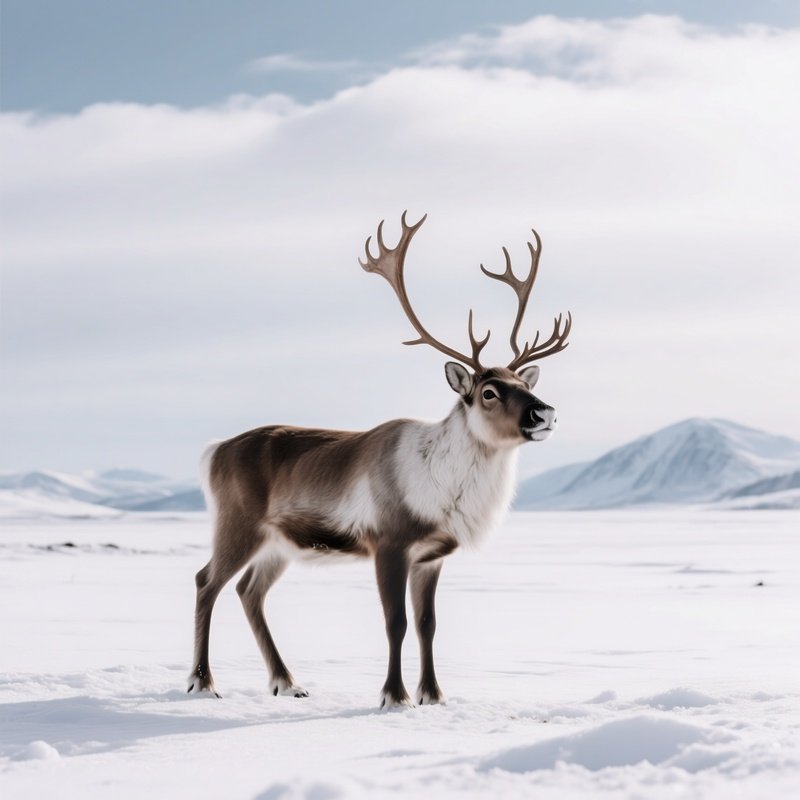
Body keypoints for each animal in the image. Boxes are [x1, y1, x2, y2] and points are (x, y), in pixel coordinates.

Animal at [188, 212, 571, 708]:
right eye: (489, 391)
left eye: (522, 383)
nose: (545, 413)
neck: (444, 485)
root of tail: (214, 451)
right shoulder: (389, 543)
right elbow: (397, 623)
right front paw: (394, 695)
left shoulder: (431, 556)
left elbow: (428, 625)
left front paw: (434, 695)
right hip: (238, 525)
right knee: (206, 582)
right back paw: (203, 682)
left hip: (278, 544)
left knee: (248, 591)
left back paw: (288, 682)